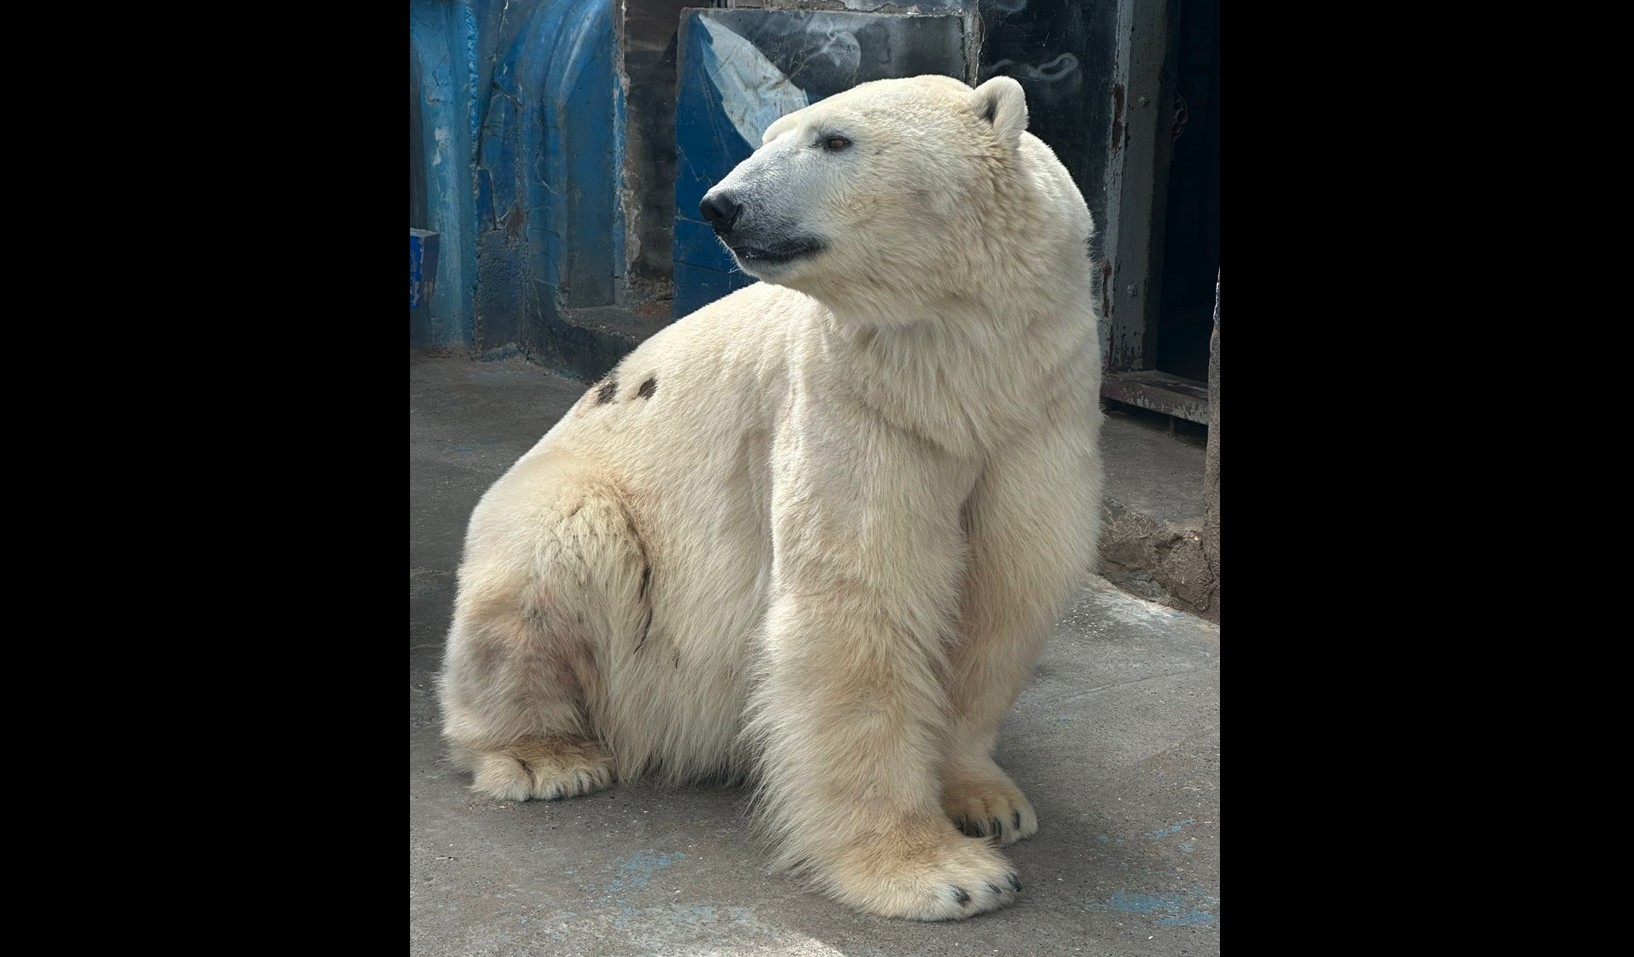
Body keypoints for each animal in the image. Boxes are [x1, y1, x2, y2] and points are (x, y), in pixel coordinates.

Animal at [441, 74, 1104, 914]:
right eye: (768, 135)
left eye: (835, 139)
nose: (721, 204)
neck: (957, 364)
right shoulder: (856, 398)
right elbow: (861, 602)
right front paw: (940, 872)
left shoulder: (1033, 408)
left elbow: (1003, 587)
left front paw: (988, 803)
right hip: (580, 526)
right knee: (551, 565)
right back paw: (544, 755)